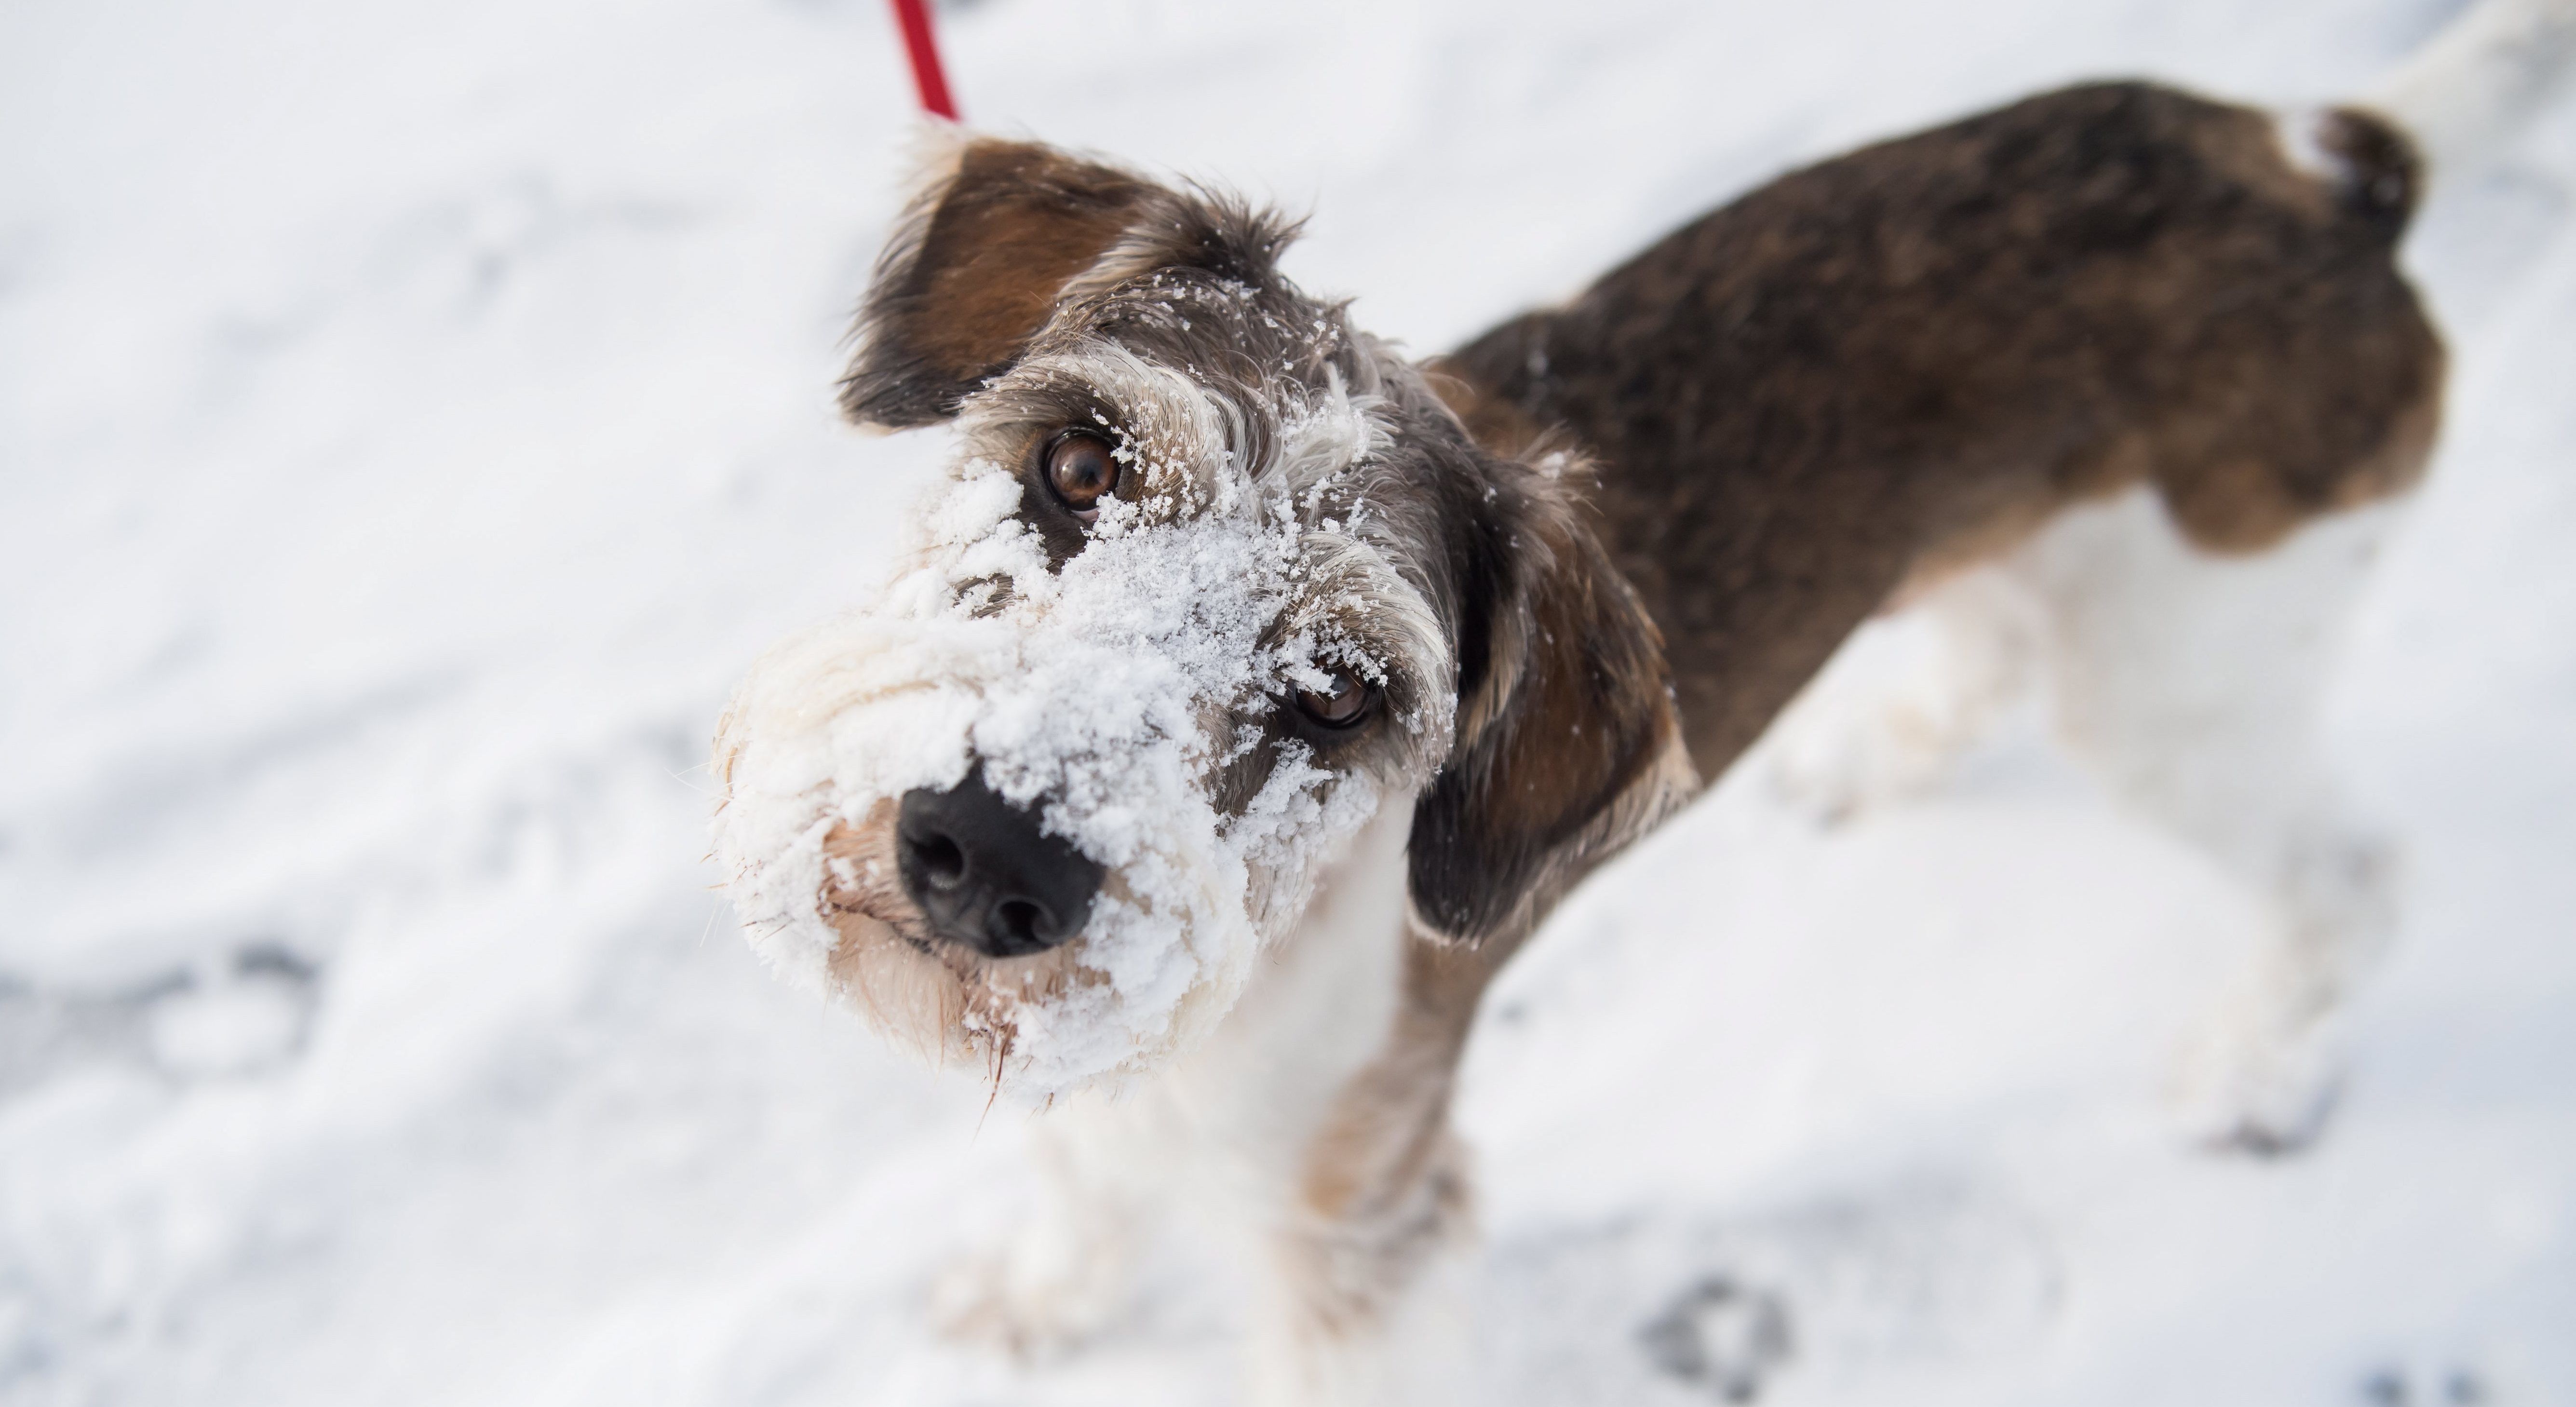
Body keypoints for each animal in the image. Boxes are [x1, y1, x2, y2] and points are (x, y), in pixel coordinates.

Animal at [711, 5, 2576, 1391]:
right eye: (1082, 462)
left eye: (1340, 695)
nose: (988, 853)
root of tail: (2337, 173)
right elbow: (1079, 1176)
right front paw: (1038, 1299)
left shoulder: (1362, 1227)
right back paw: (1872, 756)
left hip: (2179, 680)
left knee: (2350, 876)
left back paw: (2253, 1069)